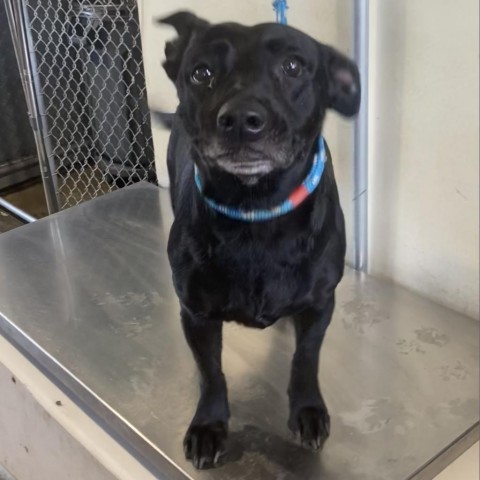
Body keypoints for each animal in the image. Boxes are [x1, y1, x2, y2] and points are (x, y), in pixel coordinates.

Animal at [158, 11, 360, 468]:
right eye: (202, 73)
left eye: (293, 66)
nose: (240, 120)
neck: (257, 212)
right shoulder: (195, 313)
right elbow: (211, 373)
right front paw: (209, 424)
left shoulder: (320, 304)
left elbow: (306, 359)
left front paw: (307, 408)